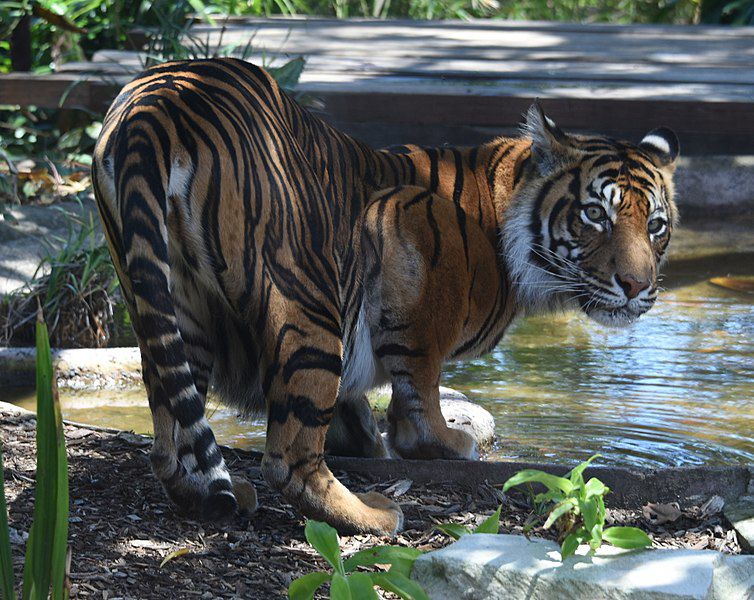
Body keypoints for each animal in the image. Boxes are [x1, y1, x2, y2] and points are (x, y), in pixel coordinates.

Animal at [91, 56, 680, 536]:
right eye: (595, 214)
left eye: (655, 225)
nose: (637, 286)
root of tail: (158, 101)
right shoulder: (409, 225)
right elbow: (420, 381)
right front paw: (439, 442)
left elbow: (361, 399)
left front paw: (369, 440)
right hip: (307, 295)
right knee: (290, 456)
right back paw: (373, 515)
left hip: (165, 298)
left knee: (169, 432)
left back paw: (214, 493)